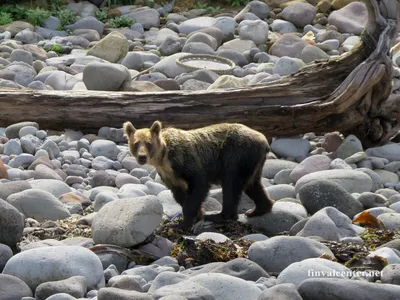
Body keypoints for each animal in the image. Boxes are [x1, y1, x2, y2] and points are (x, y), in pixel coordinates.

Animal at [123, 120, 276, 229]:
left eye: (148, 143)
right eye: (136, 143)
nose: (142, 157)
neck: (164, 158)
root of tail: (264, 140)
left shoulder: (184, 160)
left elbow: (198, 184)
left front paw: (184, 223)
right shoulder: (168, 173)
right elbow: (179, 192)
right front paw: (197, 215)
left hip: (237, 154)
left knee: (231, 184)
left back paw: (220, 216)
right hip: (253, 162)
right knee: (253, 184)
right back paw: (258, 209)